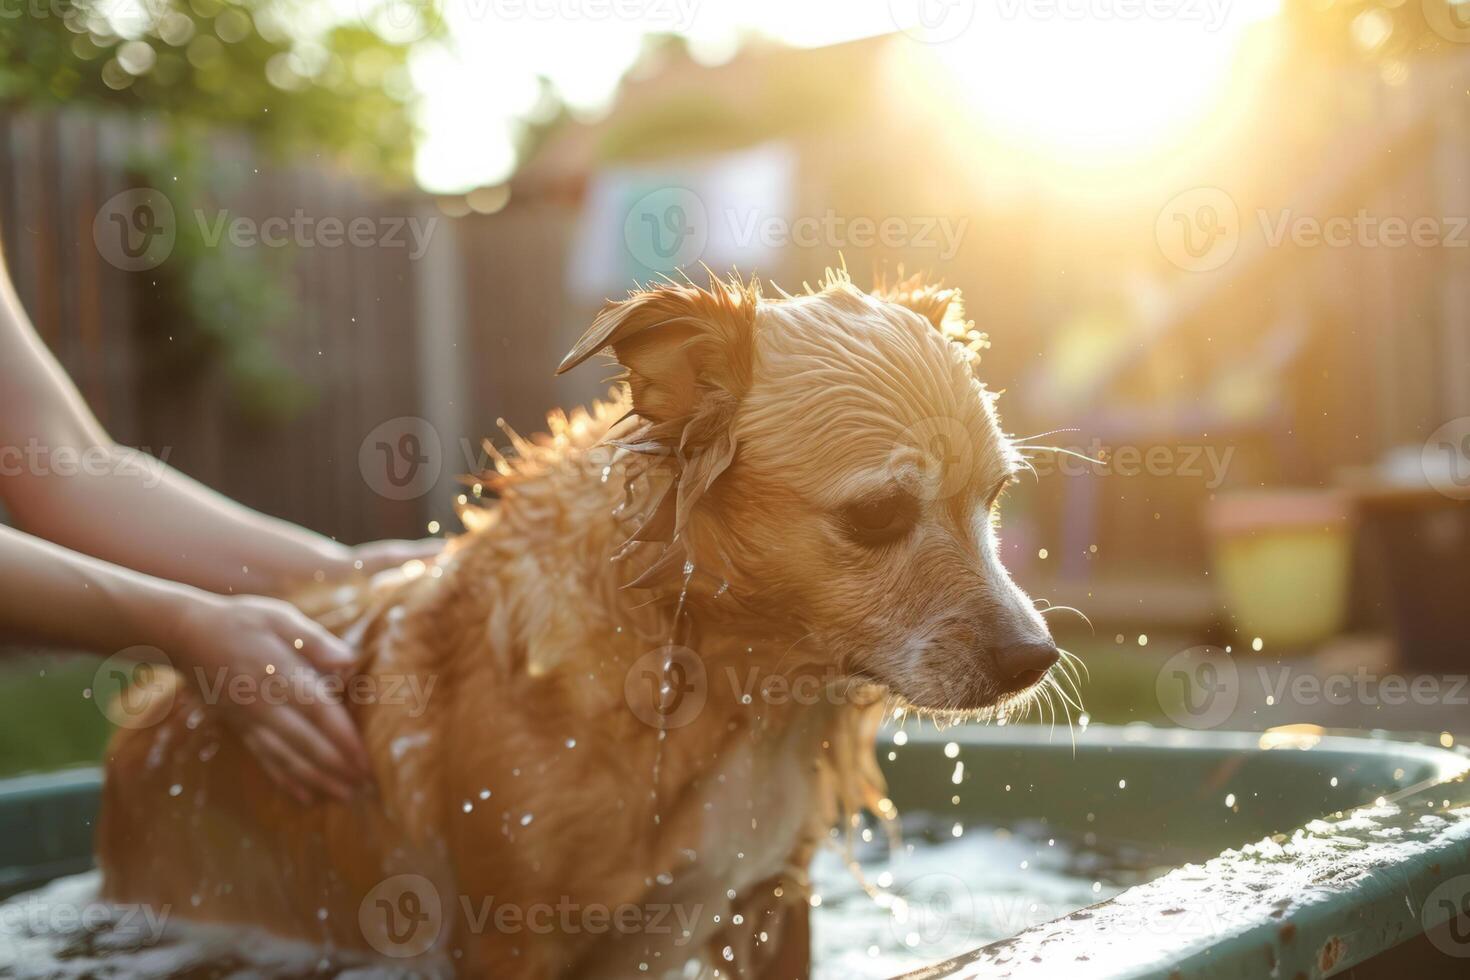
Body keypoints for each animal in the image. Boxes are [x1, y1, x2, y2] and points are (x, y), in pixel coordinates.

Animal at [97, 270, 1064, 980]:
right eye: (877, 515)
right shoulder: (510, 938)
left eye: (995, 499)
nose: (1035, 657)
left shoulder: (772, 906)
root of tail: (150, 704)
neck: (726, 684)